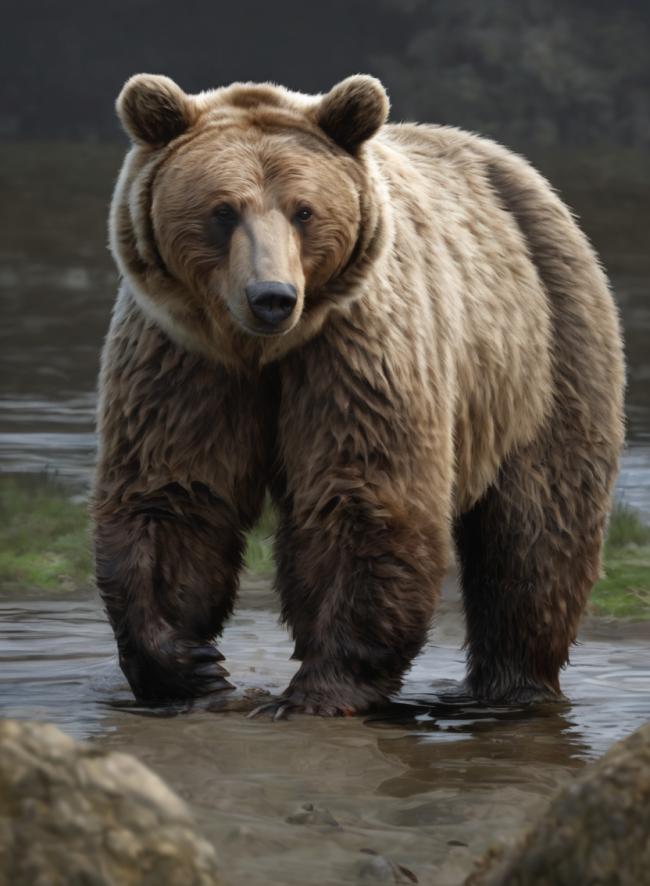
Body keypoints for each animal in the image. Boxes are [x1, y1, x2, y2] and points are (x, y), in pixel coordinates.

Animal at [93, 73, 625, 717]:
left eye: (303, 210)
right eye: (222, 210)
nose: (272, 297)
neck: (262, 353)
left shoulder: (356, 350)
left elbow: (364, 497)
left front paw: (314, 692)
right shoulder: (184, 359)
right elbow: (173, 490)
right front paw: (192, 669)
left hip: (545, 352)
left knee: (537, 531)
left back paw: (511, 687)